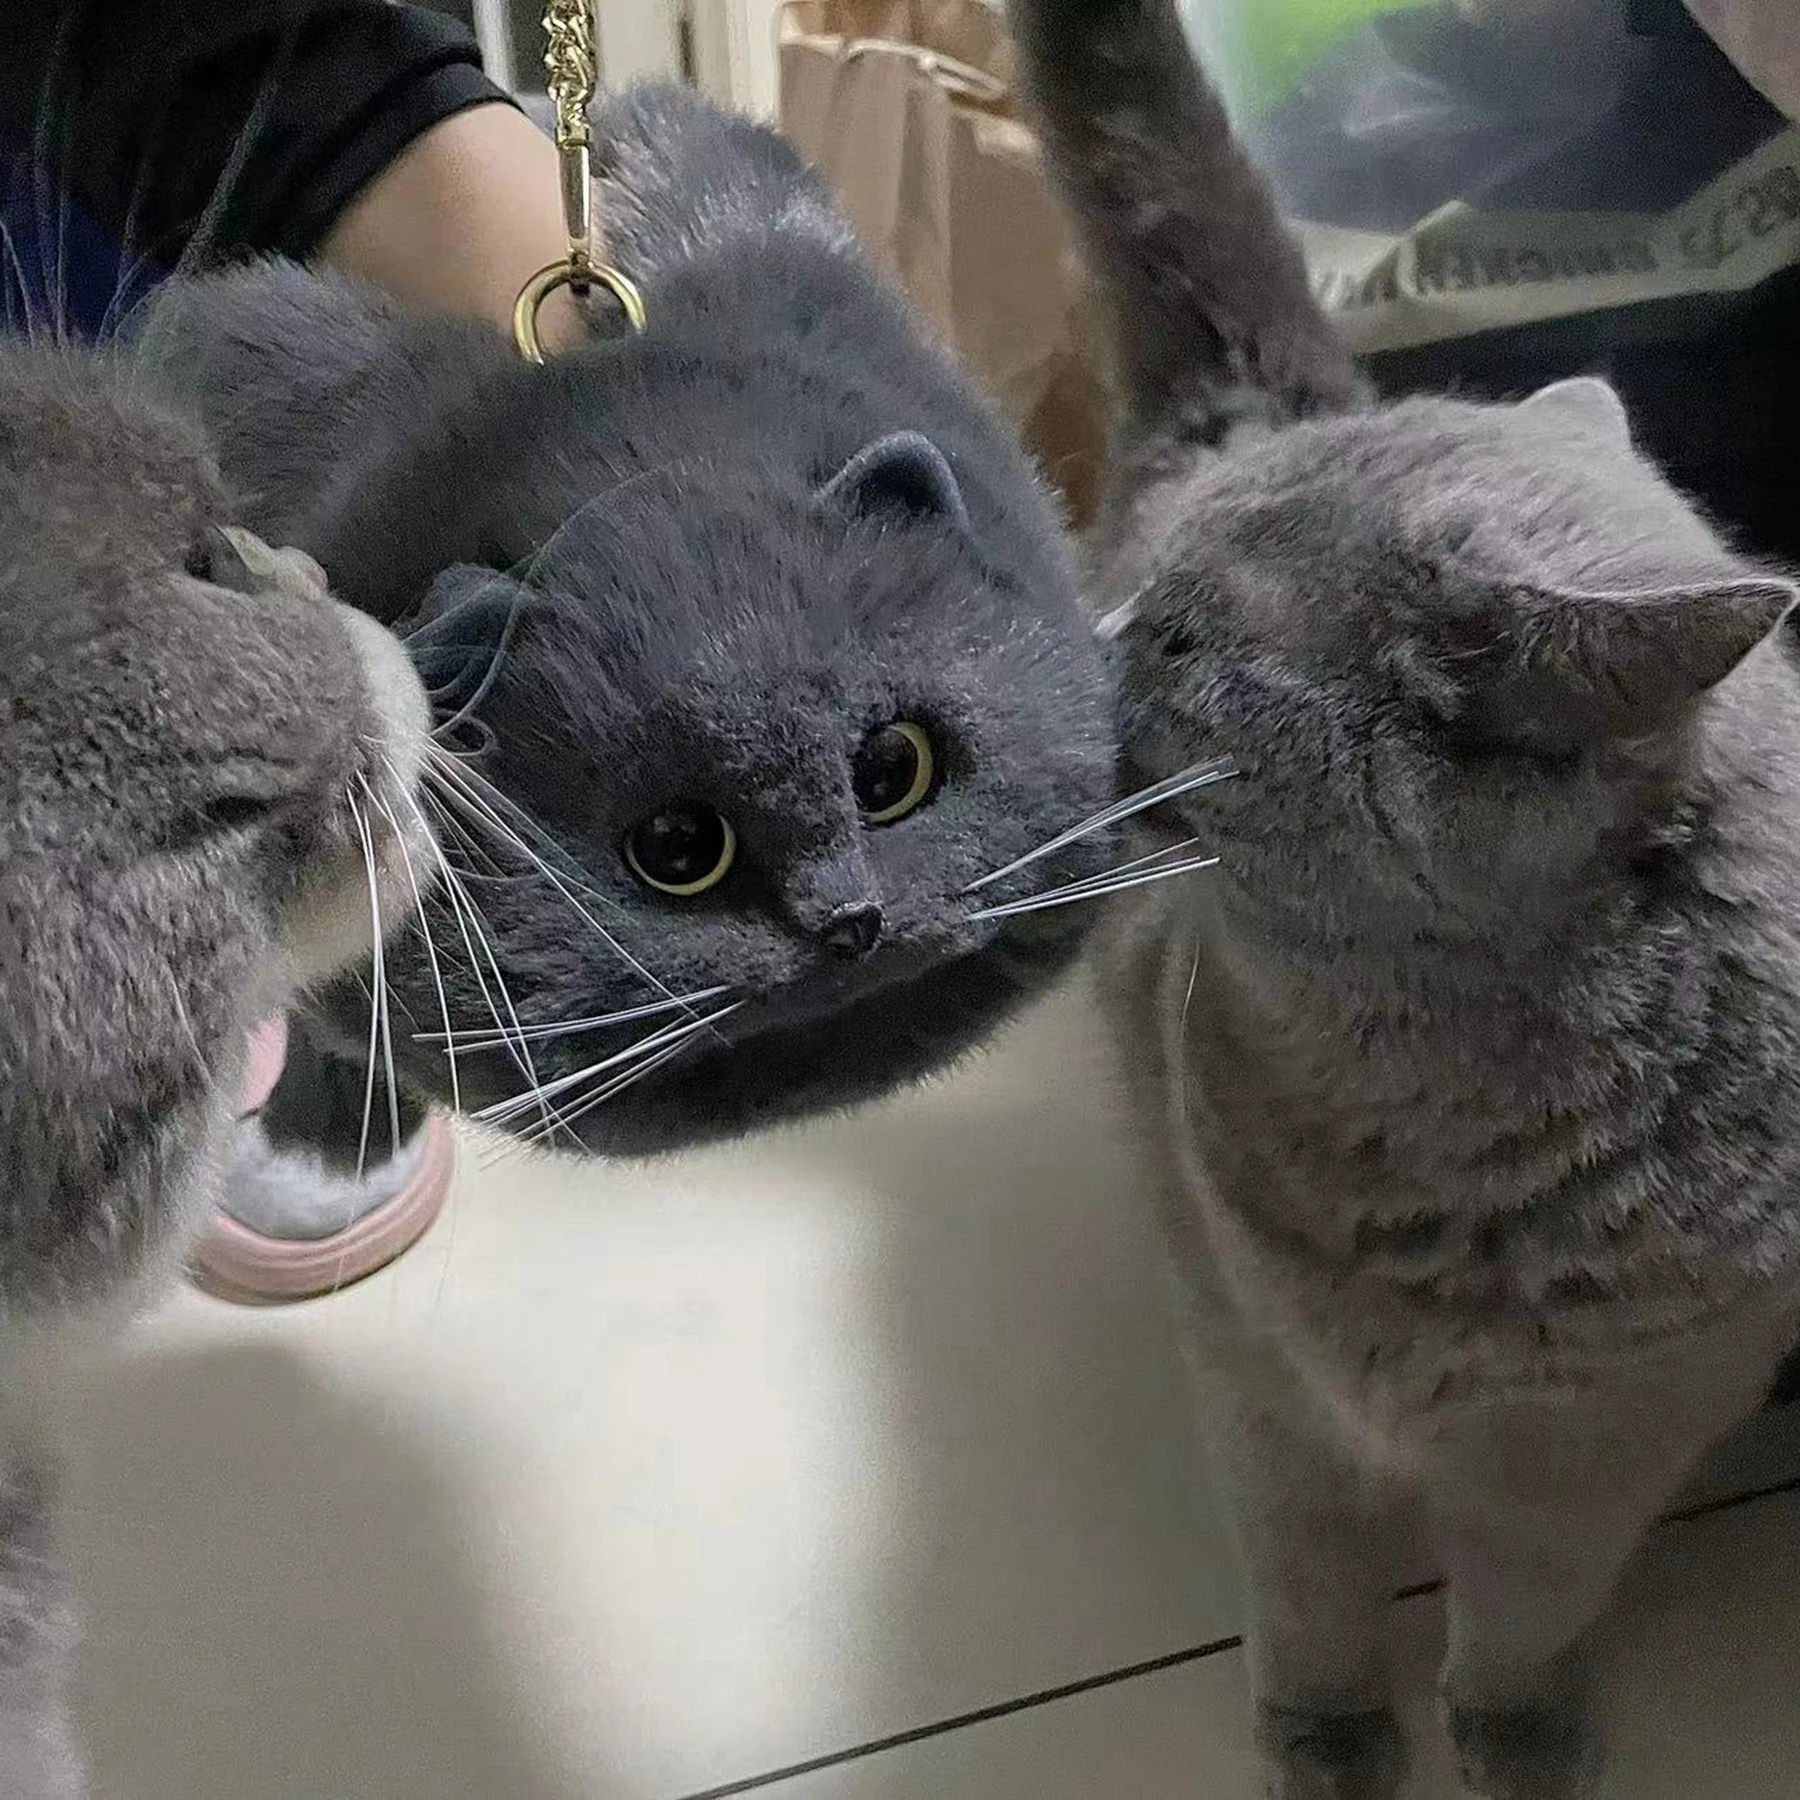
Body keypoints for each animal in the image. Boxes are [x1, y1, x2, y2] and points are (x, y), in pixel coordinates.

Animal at [1011, 1, 1800, 1794]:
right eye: (1151, 598)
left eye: (1182, 642)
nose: (1097, 644)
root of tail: (1267, 402)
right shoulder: (1263, 1382)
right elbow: (1307, 1580)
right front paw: (1329, 1743)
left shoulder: (1601, 1446)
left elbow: (1526, 1610)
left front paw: (1513, 1743)